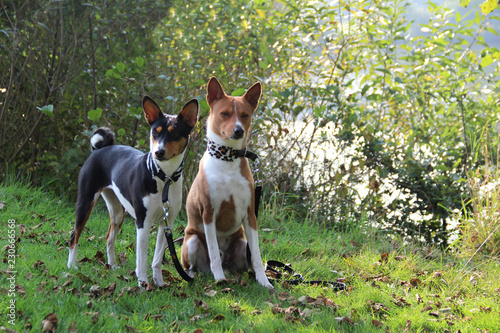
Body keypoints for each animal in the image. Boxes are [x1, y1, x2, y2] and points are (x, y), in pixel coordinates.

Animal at [67, 95, 199, 286]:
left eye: (174, 133)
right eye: (155, 132)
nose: (159, 152)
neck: (163, 178)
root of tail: (98, 149)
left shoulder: (166, 223)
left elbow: (157, 259)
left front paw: (159, 283)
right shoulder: (143, 222)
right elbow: (142, 259)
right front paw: (143, 284)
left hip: (117, 212)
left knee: (109, 238)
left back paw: (112, 266)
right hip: (85, 203)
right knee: (74, 236)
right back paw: (72, 266)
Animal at [181, 76, 274, 288]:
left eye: (245, 115)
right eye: (224, 113)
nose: (238, 130)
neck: (227, 158)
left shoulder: (250, 214)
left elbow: (257, 256)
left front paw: (264, 281)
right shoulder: (208, 213)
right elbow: (214, 252)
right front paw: (219, 279)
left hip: (241, 243)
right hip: (191, 241)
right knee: (196, 264)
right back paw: (198, 274)